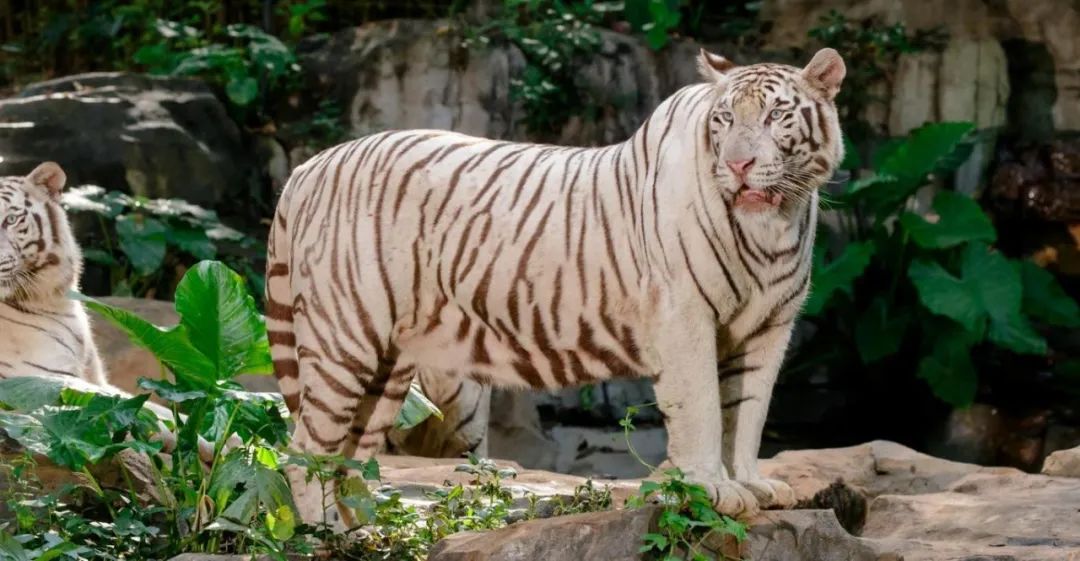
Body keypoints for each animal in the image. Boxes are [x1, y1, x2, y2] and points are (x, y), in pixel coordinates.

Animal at [265, 47, 846, 523]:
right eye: (724, 119)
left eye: (775, 115)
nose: (738, 163)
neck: (774, 223)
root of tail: (308, 168)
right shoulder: (685, 316)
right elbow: (702, 408)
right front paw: (712, 489)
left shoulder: (768, 327)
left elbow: (747, 412)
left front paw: (750, 483)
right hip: (345, 337)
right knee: (305, 452)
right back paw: (322, 534)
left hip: (386, 363)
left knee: (348, 459)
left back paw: (360, 531)